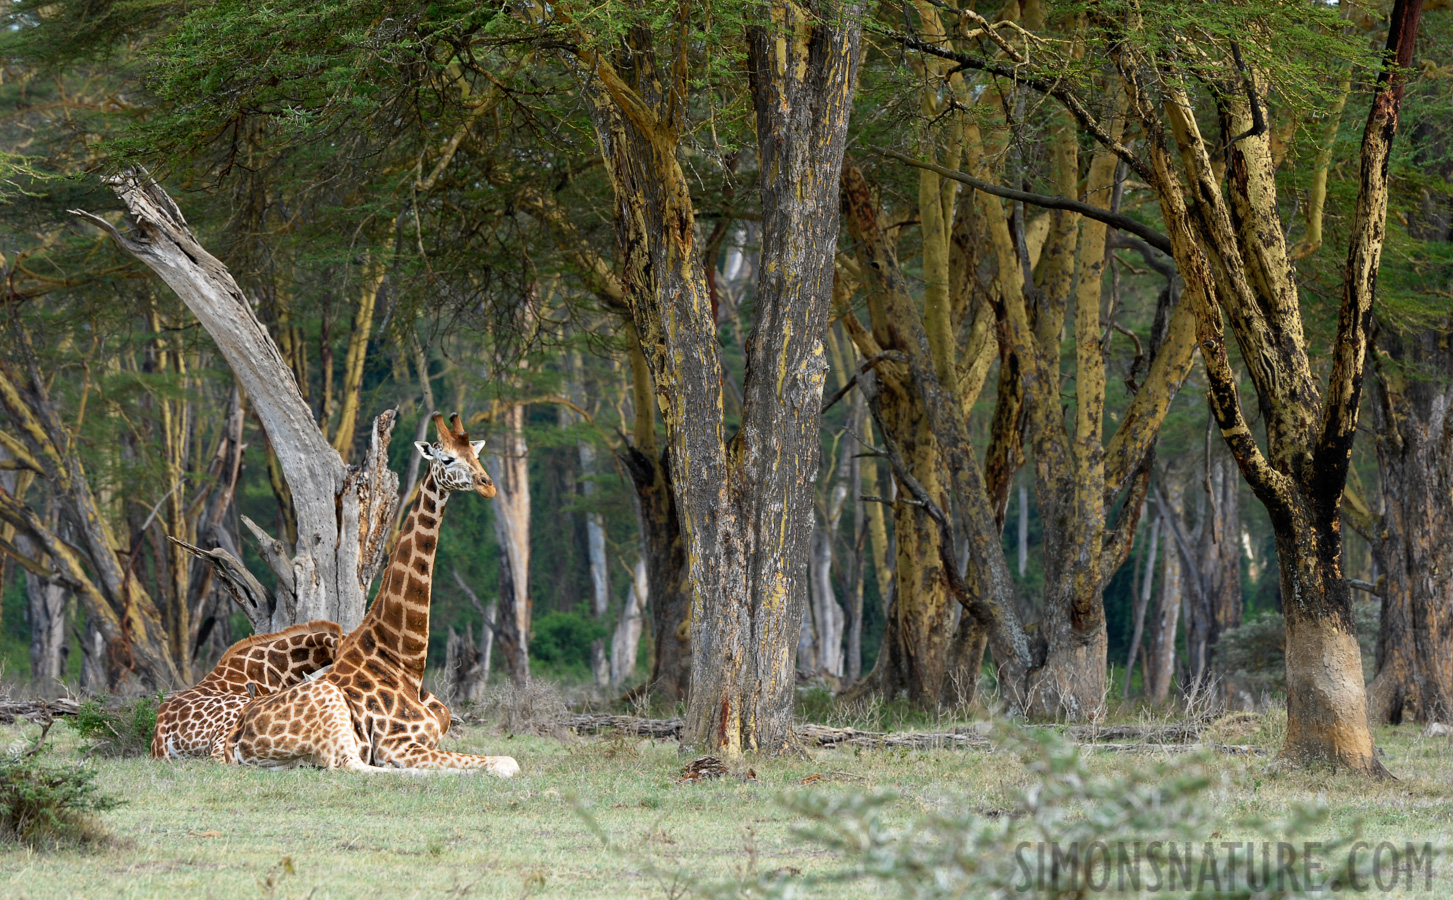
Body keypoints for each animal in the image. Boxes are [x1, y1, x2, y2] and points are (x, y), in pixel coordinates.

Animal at [210, 412, 517, 773]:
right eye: (447, 459)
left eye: (476, 455)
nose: (488, 485)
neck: (405, 660)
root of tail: (233, 740)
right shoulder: (398, 744)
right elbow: (505, 763)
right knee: (355, 767)